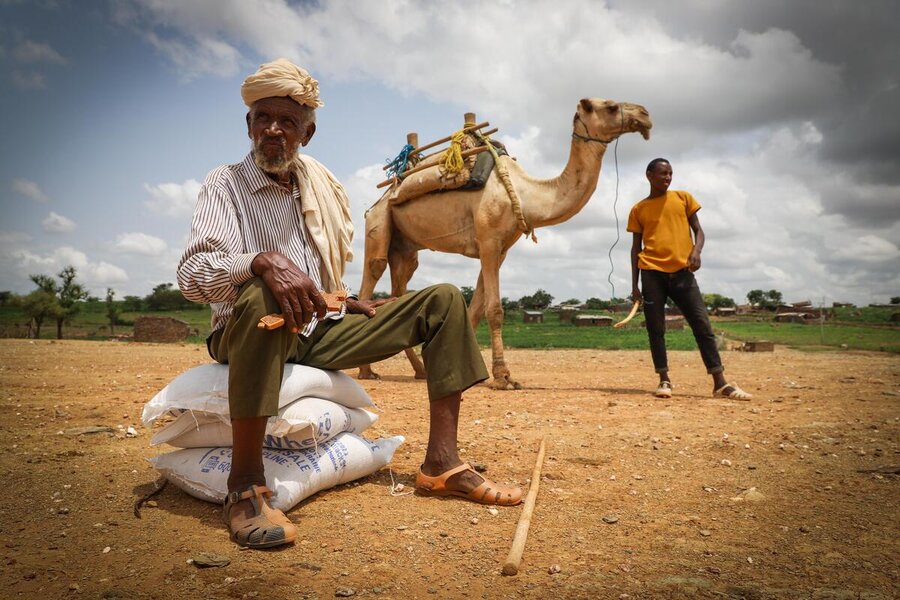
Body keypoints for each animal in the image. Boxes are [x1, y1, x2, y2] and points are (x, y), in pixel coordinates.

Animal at [356, 98, 652, 390]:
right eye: (610, 106)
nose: (645, 115)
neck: (524, 194)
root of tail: (386, 193)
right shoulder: (488, 240)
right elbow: (494, 309)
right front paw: (503, 377)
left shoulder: (500, 250)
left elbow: (475, 308)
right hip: (379, 222)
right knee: (372, 272)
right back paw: (366, 371)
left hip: (405, 248)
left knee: (399, 289)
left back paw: (418, 370)